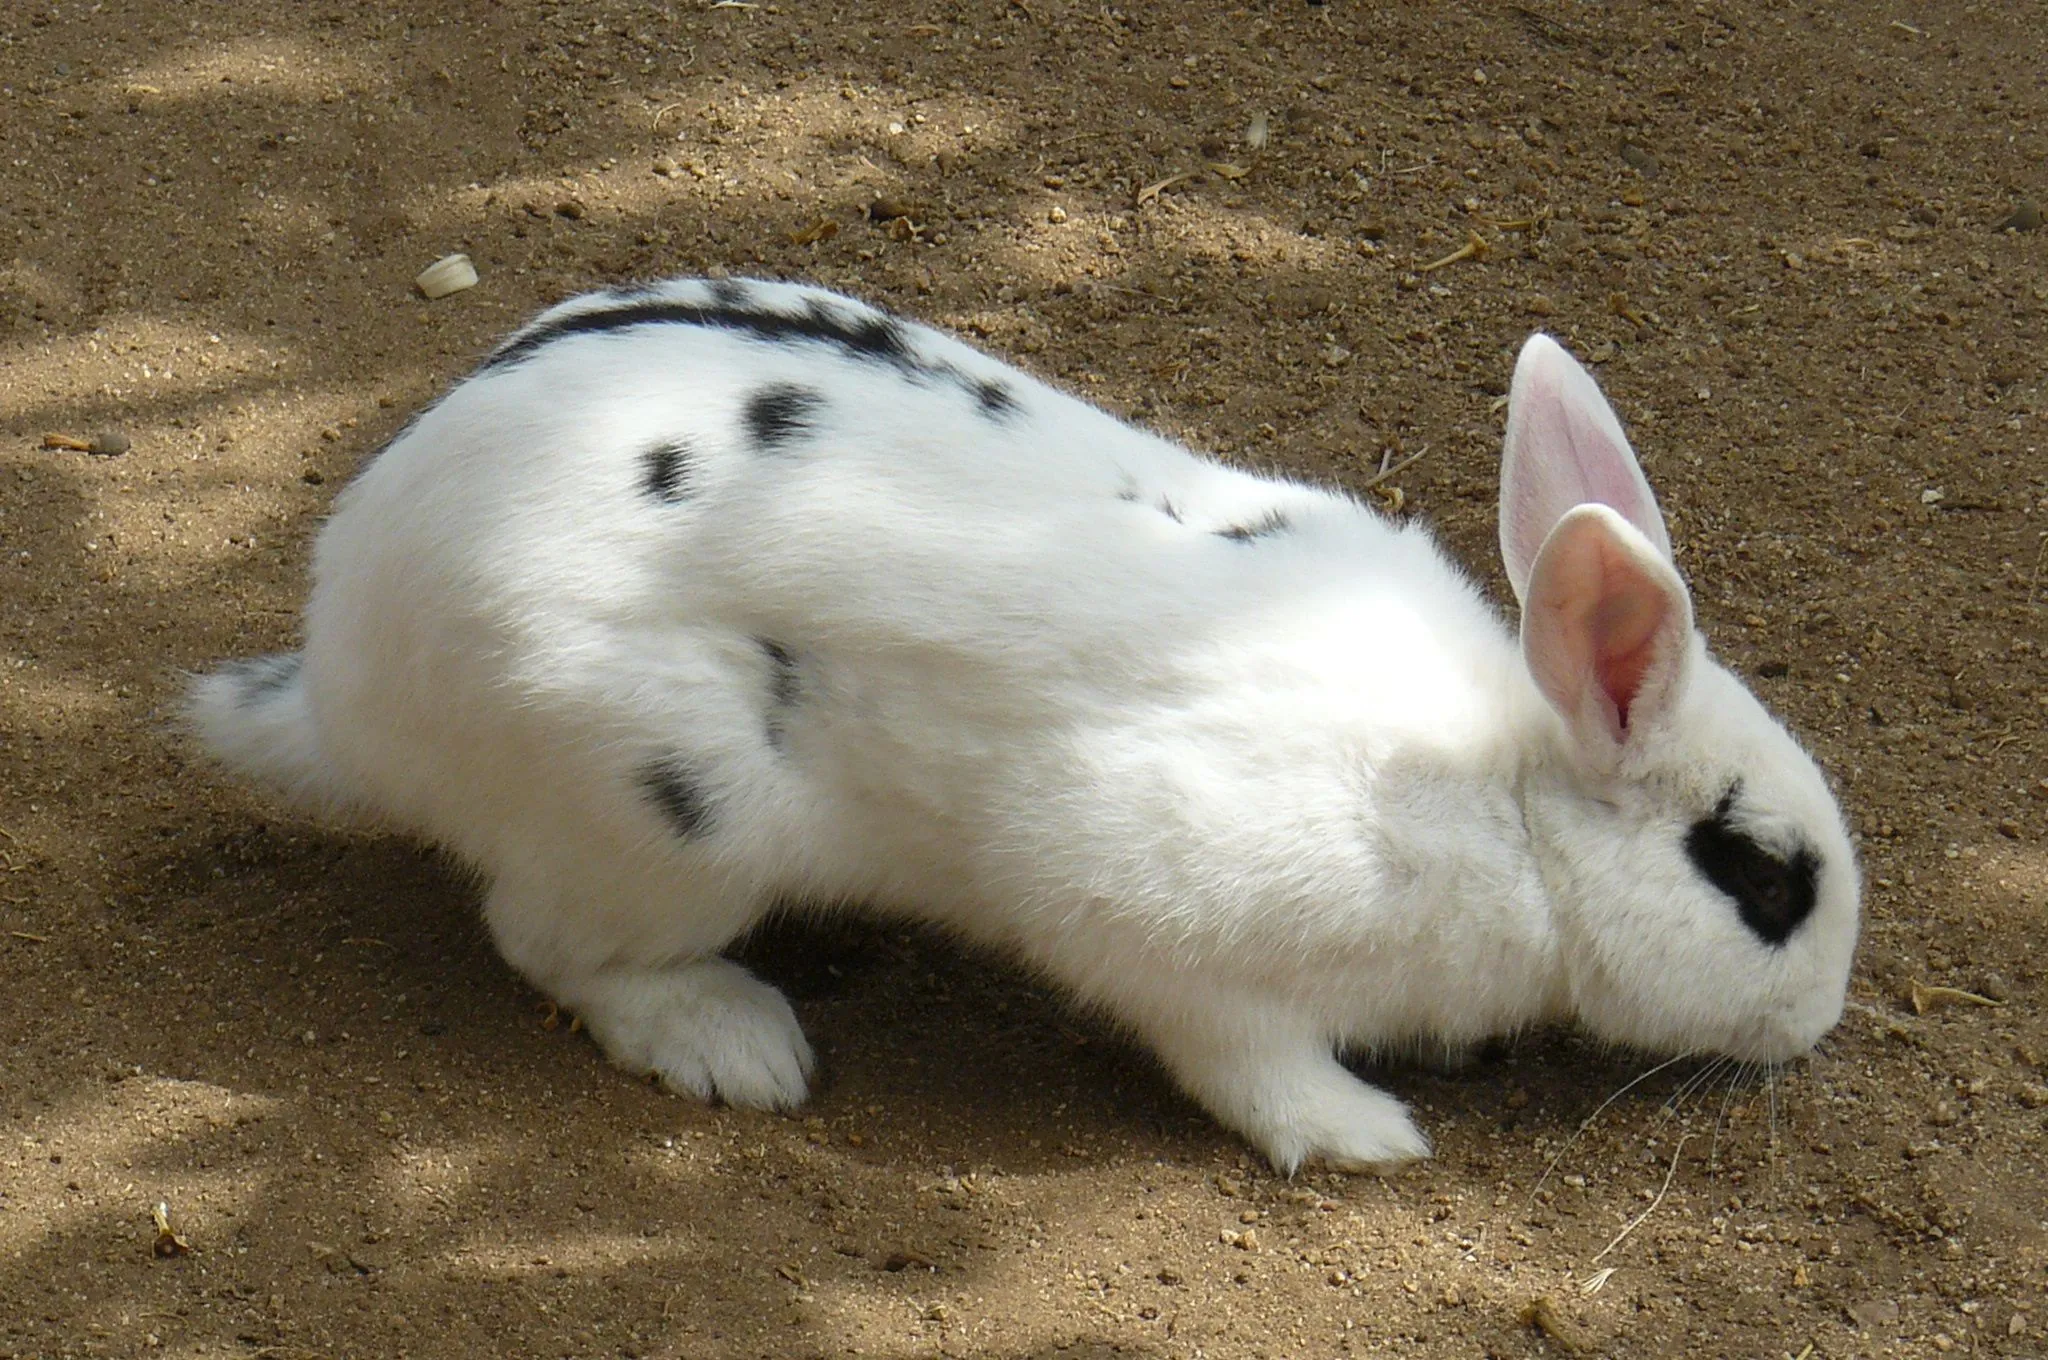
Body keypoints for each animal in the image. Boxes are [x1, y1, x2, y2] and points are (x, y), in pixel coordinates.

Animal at [184, 274, 1867, 1171]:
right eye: (1764, 883)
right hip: (666, 822)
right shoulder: (1164, 922)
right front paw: (1363, 1133)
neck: (1506, 799)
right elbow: (1240, 1053)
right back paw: (734, 1042)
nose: (1819, 1026)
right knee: (549, 945)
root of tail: (343, 666)